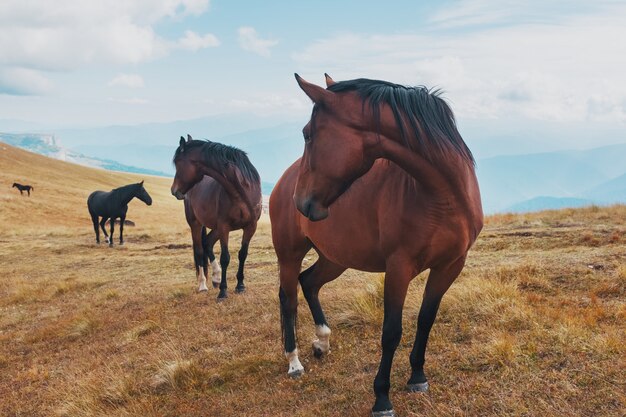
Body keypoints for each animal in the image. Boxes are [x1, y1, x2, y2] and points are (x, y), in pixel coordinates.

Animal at [169, 135, 260, 298]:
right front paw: (223, 292)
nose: (174, 191)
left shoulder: (250, 227)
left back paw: (216, 277)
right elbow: (225, 258)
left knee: (207, 243)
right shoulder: (224, 227)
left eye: (178, 163)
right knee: (199, 250)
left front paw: (240, 286)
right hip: (196, 224)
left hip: (216, 228)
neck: (241, 193)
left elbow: (242, 254)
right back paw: (203, 284)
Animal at [270, 73, 482, 414]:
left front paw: (417, 377)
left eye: (307, 134)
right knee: (288, 299)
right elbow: (391, 332)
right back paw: (294, 362)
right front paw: (382, 397)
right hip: (289, 255)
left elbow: (425, 320)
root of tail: (283, 182)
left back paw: (322, 341)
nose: (301, 202)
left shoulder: (450, 266)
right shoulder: (398, 268)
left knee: (310, 282)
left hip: (334, 259)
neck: (442, 196)